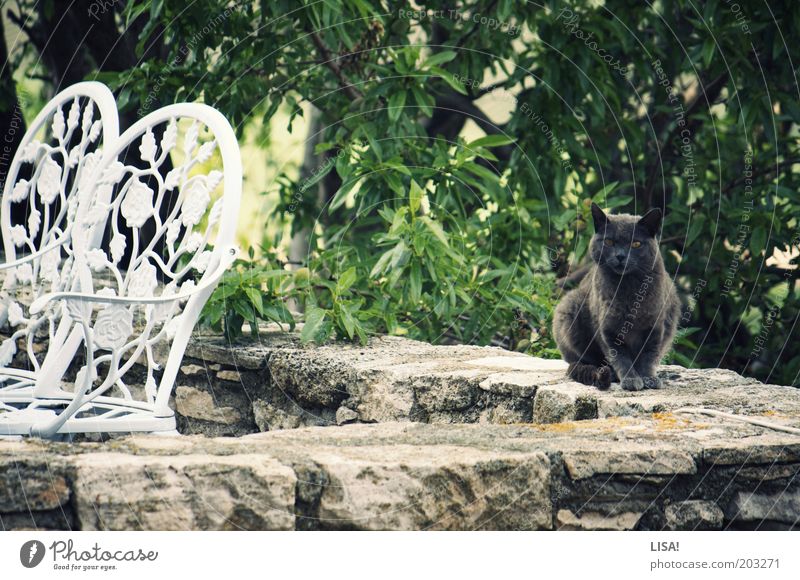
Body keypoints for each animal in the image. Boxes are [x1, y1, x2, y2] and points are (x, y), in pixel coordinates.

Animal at [552, 203, 680, 390]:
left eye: (636, 243)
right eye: (609, 241)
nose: (620, 256)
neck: (628, 288)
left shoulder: (656, 327)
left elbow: (648, 357)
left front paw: (649, 378)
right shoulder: (608, 330)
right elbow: (621, 358)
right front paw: (631, 380)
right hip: (569, 306)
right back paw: (608, 374)